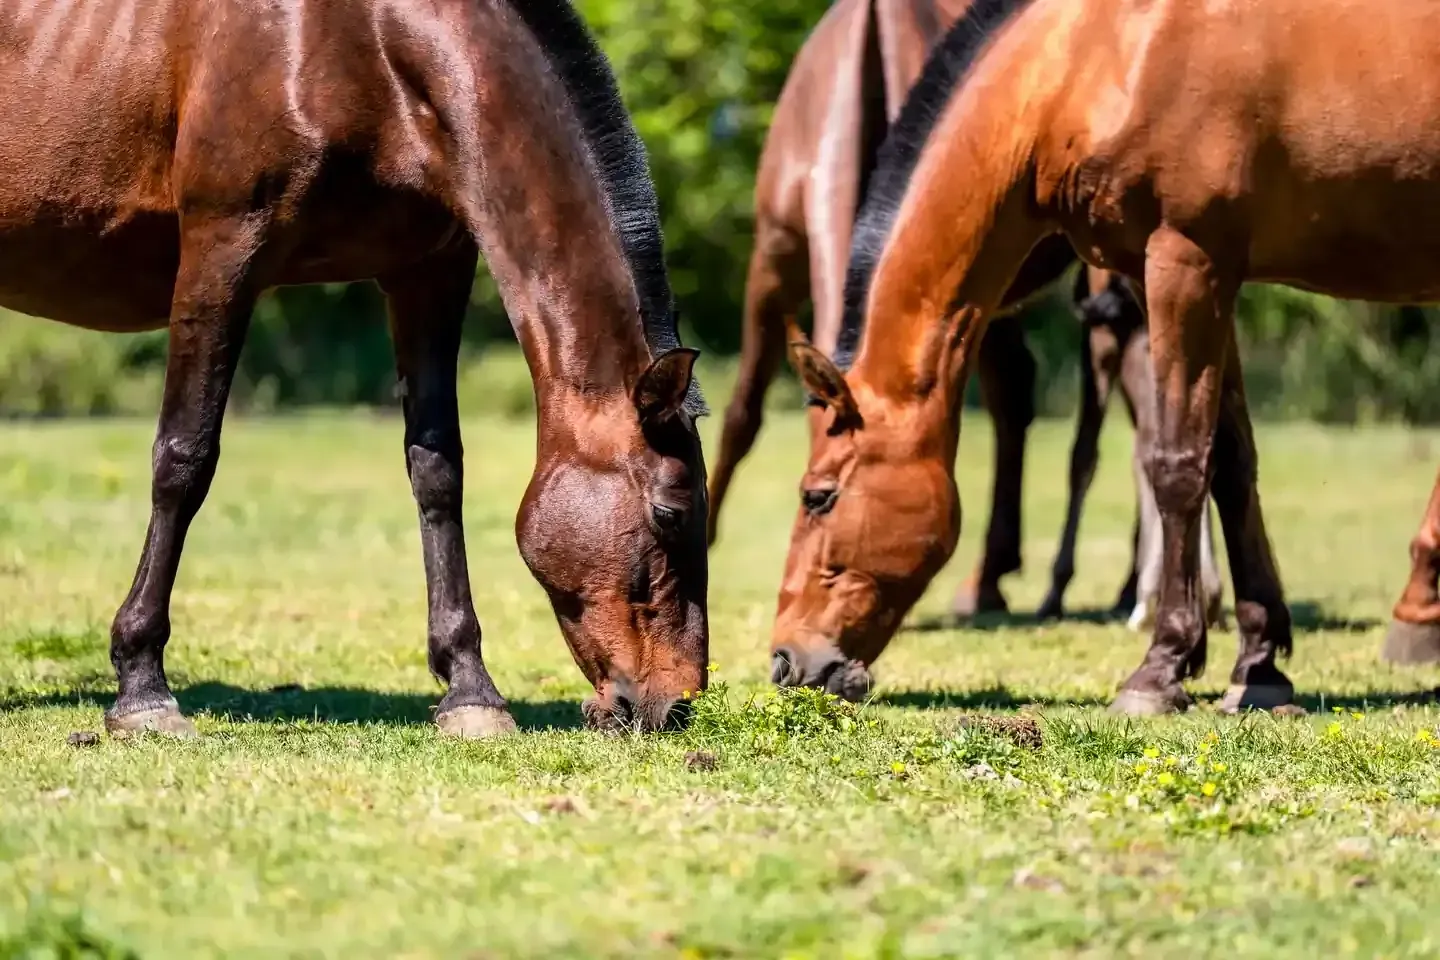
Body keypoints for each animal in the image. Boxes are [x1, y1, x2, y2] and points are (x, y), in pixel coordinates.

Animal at [1, 0, 710, 737]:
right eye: (669, 513)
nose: (676, 703)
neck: (362, 43)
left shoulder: (428, 270)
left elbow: (437, 471)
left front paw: (471, 690)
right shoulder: (219, 253)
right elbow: (184, 460)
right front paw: (143, 687)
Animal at [774, 0, 1440, 714]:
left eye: (818, 496)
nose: (785, 660)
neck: (1095, 58)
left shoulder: (1185, 263)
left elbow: (1177, 463)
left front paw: (1160, 669)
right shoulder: (1188, 279)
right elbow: (1232, 465)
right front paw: (1258, 667)